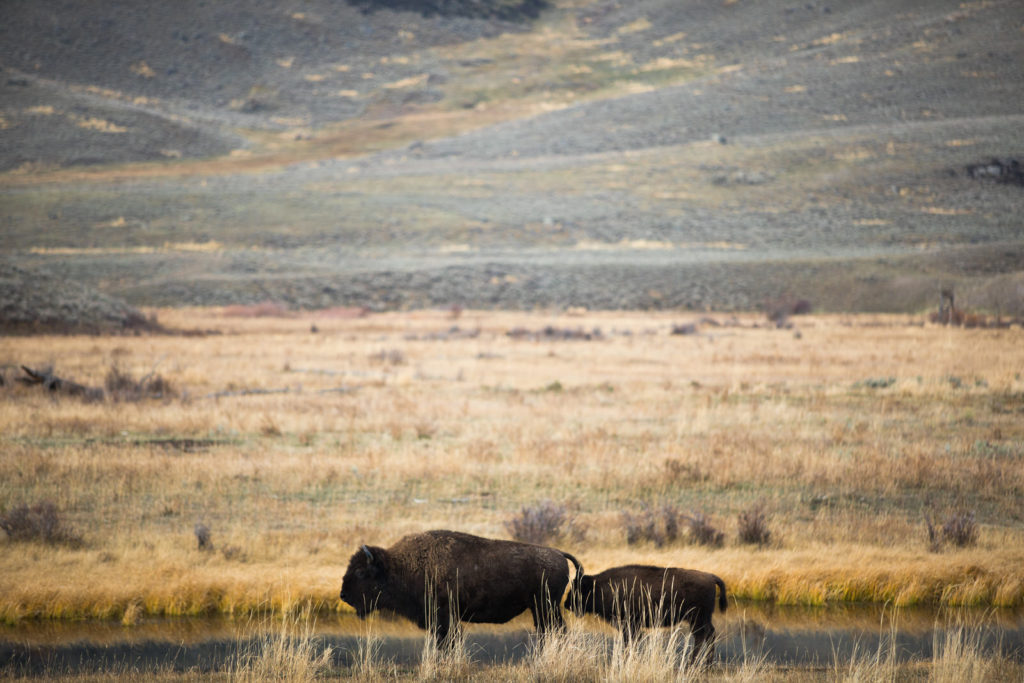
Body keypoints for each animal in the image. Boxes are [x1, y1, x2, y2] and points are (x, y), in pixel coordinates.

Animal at [340, 529, 583, 648]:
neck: (400, 566)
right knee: (548, 631)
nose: (343, 595)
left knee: (556, 630)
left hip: (546, 607)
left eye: (360, 572)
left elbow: (447, 641)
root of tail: (559, 554)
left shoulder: (444, 618)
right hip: (540, 609)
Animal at [564, 564, 727, 666]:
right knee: (709, 634)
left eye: (578, 589)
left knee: (701, 636)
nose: (566, 604)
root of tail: (710, 577)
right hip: (703, 619)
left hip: (697, 619)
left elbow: (629, 643)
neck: (601, 587)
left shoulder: (630, 626)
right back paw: (707, 663)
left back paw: (692, 663)